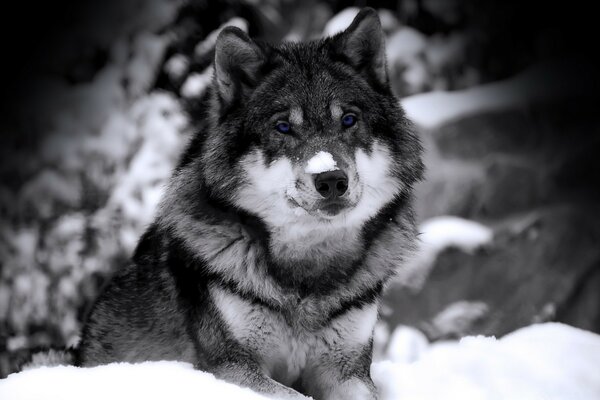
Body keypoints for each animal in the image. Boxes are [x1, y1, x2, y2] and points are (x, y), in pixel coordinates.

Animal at [75, 7, 422, 398]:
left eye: (348, 120)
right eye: (283, 127)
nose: (331, 179)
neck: (307, 272)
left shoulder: (348, 371)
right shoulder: (232, 367)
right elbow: (294, 395)